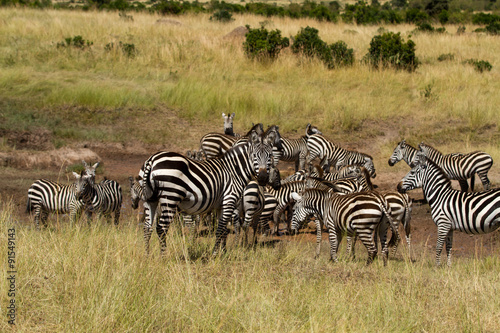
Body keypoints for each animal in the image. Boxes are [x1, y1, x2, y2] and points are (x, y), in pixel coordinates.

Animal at [137, 124, 278, 254]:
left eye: (270, 156)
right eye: (254, 156)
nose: (263, 178)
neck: (234, 170)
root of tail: (152, 160)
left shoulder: (221, 205)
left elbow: (223, 230)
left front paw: (223, 252)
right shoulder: (229, 200)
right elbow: (220, 229)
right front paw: (215, 253)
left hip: (150, 199)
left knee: (147, 227)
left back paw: (147, 255)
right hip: (170, 197)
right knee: (161, 228)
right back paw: (163, 256)